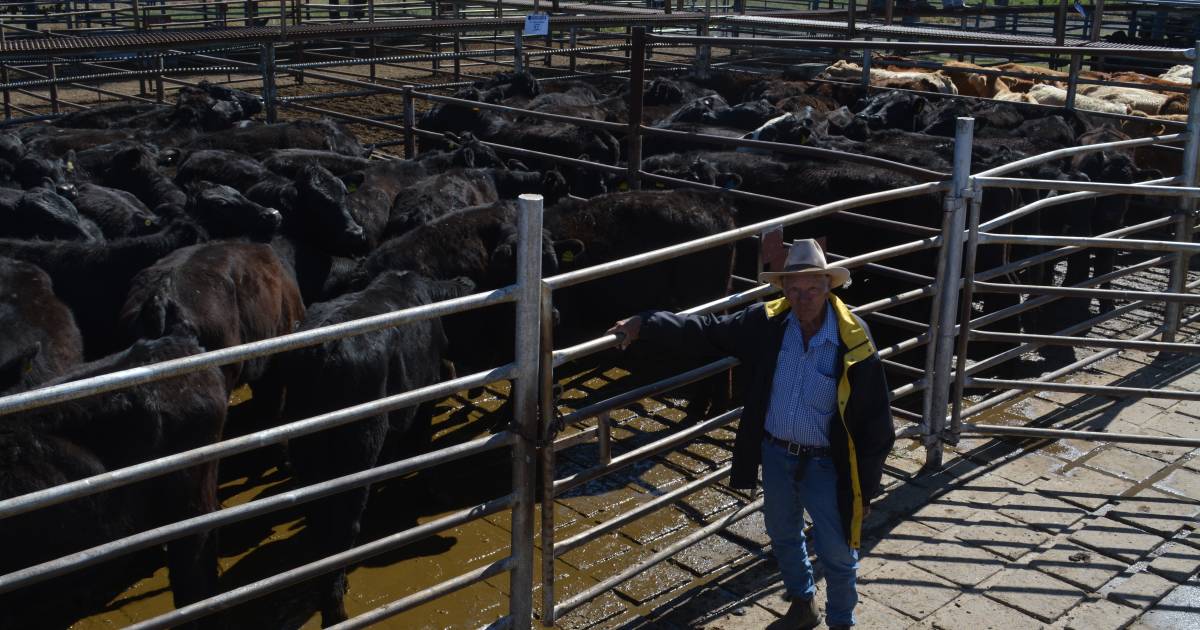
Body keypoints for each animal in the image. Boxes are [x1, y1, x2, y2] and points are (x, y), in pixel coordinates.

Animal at [274, 268, 475, 624]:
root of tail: (323, 349)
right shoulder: (424, 397)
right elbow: (422, 446)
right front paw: (435, 491)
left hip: (307, 450)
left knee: (318, 520)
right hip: (357, 448)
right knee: (343, 524)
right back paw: (337, 611)